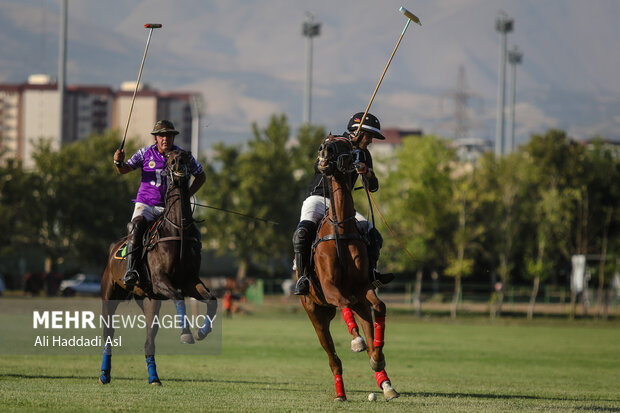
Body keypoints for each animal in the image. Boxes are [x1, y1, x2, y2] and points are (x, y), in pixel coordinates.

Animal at [98, 150, 218, 384]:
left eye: (187, 156)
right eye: (171, 158)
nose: (178, 163)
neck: (177, 230)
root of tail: (113, 246)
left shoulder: (190, 281)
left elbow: (212, 300)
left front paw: (201, 332)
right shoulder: (161, 281)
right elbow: (179, 297)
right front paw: (186, 334)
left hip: (150, 300)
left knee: (149, 339)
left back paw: (154, 377)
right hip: (110, 296)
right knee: (109, 334)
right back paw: (104, 374)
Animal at [300, 134, 398, 400]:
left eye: (345, 145)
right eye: (326, 139)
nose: (323, 151)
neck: (340, 227)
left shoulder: (362, 288)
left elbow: (380, 306)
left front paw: (377, 356)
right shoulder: (329, 287)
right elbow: (342, 301)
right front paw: (356, 341)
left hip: (359, 305)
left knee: (369, 326)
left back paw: (386, 384)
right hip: (315, 313)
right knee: (333, 358)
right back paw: (340, 393)